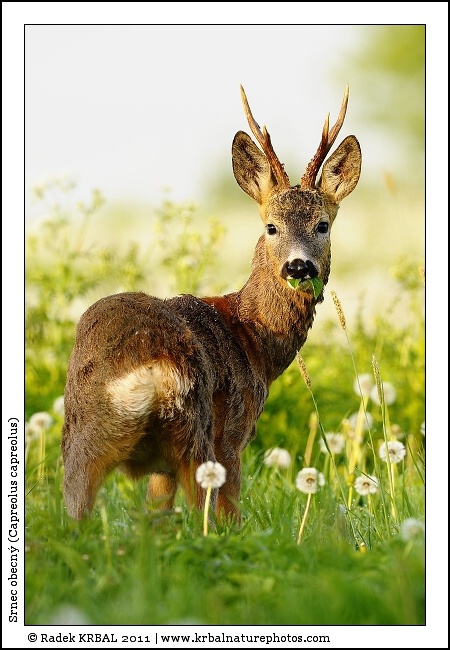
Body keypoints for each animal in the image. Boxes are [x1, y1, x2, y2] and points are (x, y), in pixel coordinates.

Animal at [61, 85, 361, 522]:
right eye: (271, 226)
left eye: (322, 225)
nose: (298, 265)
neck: (252, 336)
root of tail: (149, 366)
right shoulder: (235, 430)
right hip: (198, 435)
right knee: (213, 519)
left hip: (85, 434)